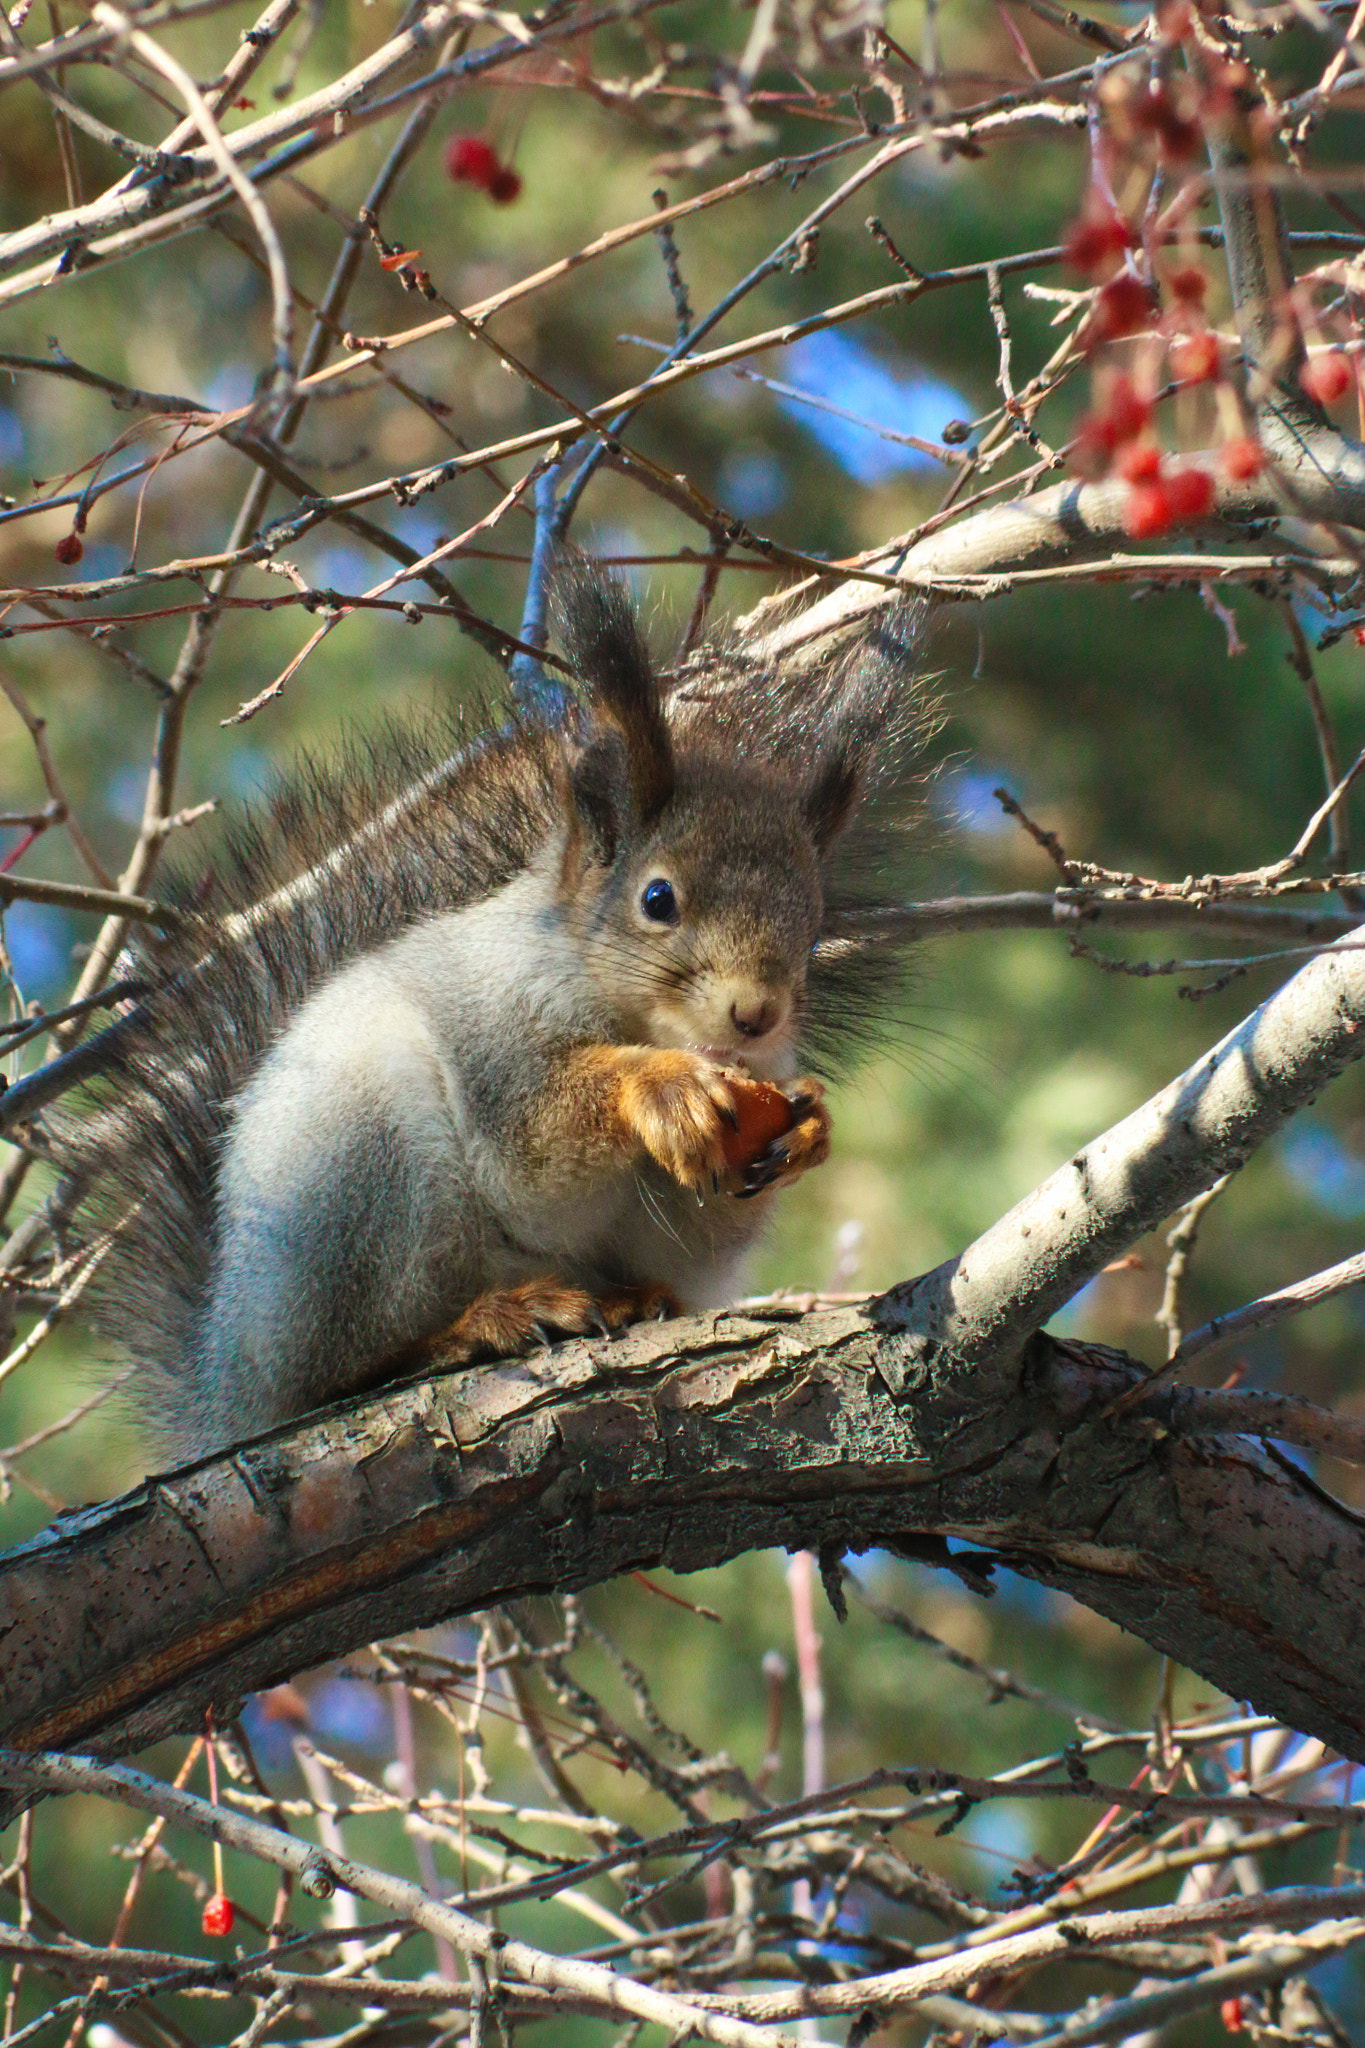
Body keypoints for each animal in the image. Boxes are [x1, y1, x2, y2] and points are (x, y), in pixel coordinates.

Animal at [60, 567, 930, 1460]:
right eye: (657, 899)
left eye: (813, 923)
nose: (754, 1014)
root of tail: (229, 1378)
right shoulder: (495, 1034)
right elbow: (531, 1162)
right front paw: (658, 1088)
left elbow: (707, 1223)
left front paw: (809, 1123)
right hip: (362, 1176)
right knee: (342, 1368)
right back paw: (482, 1323)